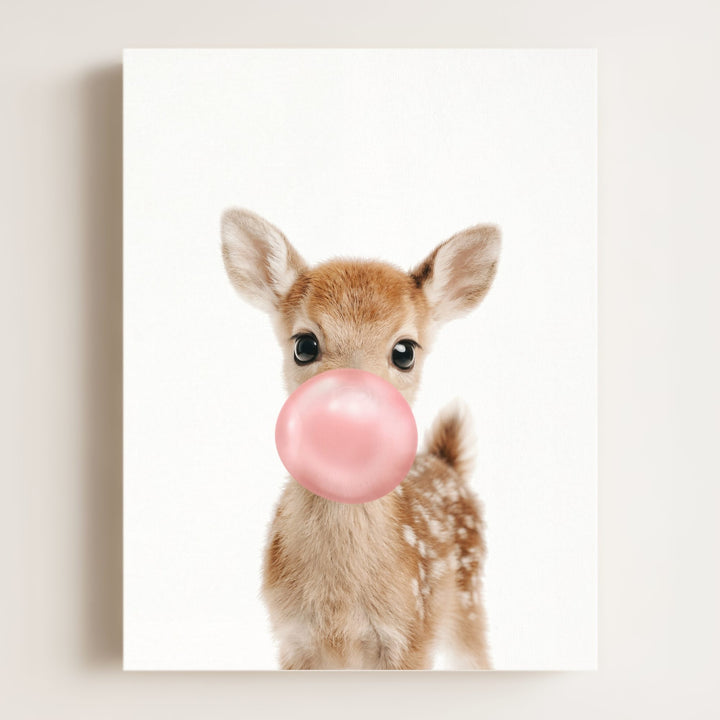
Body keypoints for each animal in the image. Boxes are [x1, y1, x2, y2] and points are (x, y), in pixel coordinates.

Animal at [221, 208, 501, 669]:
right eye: (304, 345)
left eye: (405, 351)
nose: (352, 410)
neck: (340, 608)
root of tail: (447, 461)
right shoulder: (292, 639)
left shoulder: (411, 636)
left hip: (469, 603)